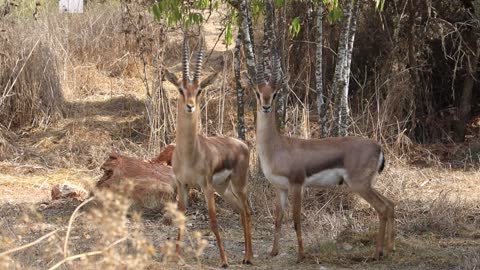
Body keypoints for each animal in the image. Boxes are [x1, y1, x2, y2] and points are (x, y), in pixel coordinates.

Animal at [165, 34, 253, 266]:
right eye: (181, 89)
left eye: (199, 90)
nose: (190, 106)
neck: (189, 154)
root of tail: (242, 144)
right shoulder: (182, 185)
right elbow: (181, 219)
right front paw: (176, 256)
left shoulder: (205, 187)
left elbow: (213, 221)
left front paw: (224, 261)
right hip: (223, 189)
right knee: (241, 211)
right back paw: (246, 256)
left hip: (238, 186)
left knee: (247, 212)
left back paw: (248, 257)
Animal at [253, 55, 396, 262]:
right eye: (258, 93)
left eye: (275, 94)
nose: (266, 107)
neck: (277, 147)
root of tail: (378, 147)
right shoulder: (281, 188)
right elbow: (278, 219)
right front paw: (273, 252)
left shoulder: (297, 185)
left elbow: (296, 220)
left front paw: (301, 255)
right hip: (366, 185)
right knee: (390, 204)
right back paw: (390, 249)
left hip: (359, 185)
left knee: (383, 208)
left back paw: (377, 253)